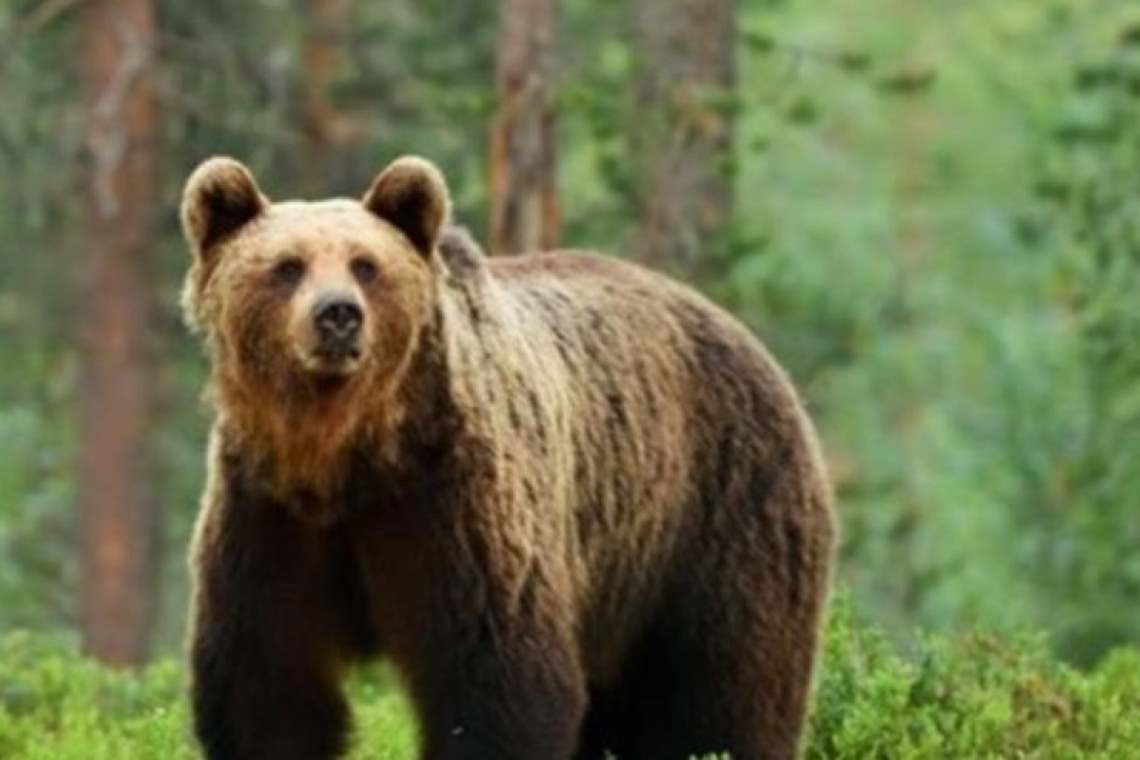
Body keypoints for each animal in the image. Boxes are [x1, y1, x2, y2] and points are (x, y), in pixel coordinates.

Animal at [180, 156, 839, 760]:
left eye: (366, 265)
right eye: (287, 266)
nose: (338, 314)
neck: (345, 457)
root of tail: (747, 338)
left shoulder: (452, 504)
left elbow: (494, 678)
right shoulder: (269, 516)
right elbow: (269, 684)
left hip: (717, 514)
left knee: (725, 687)